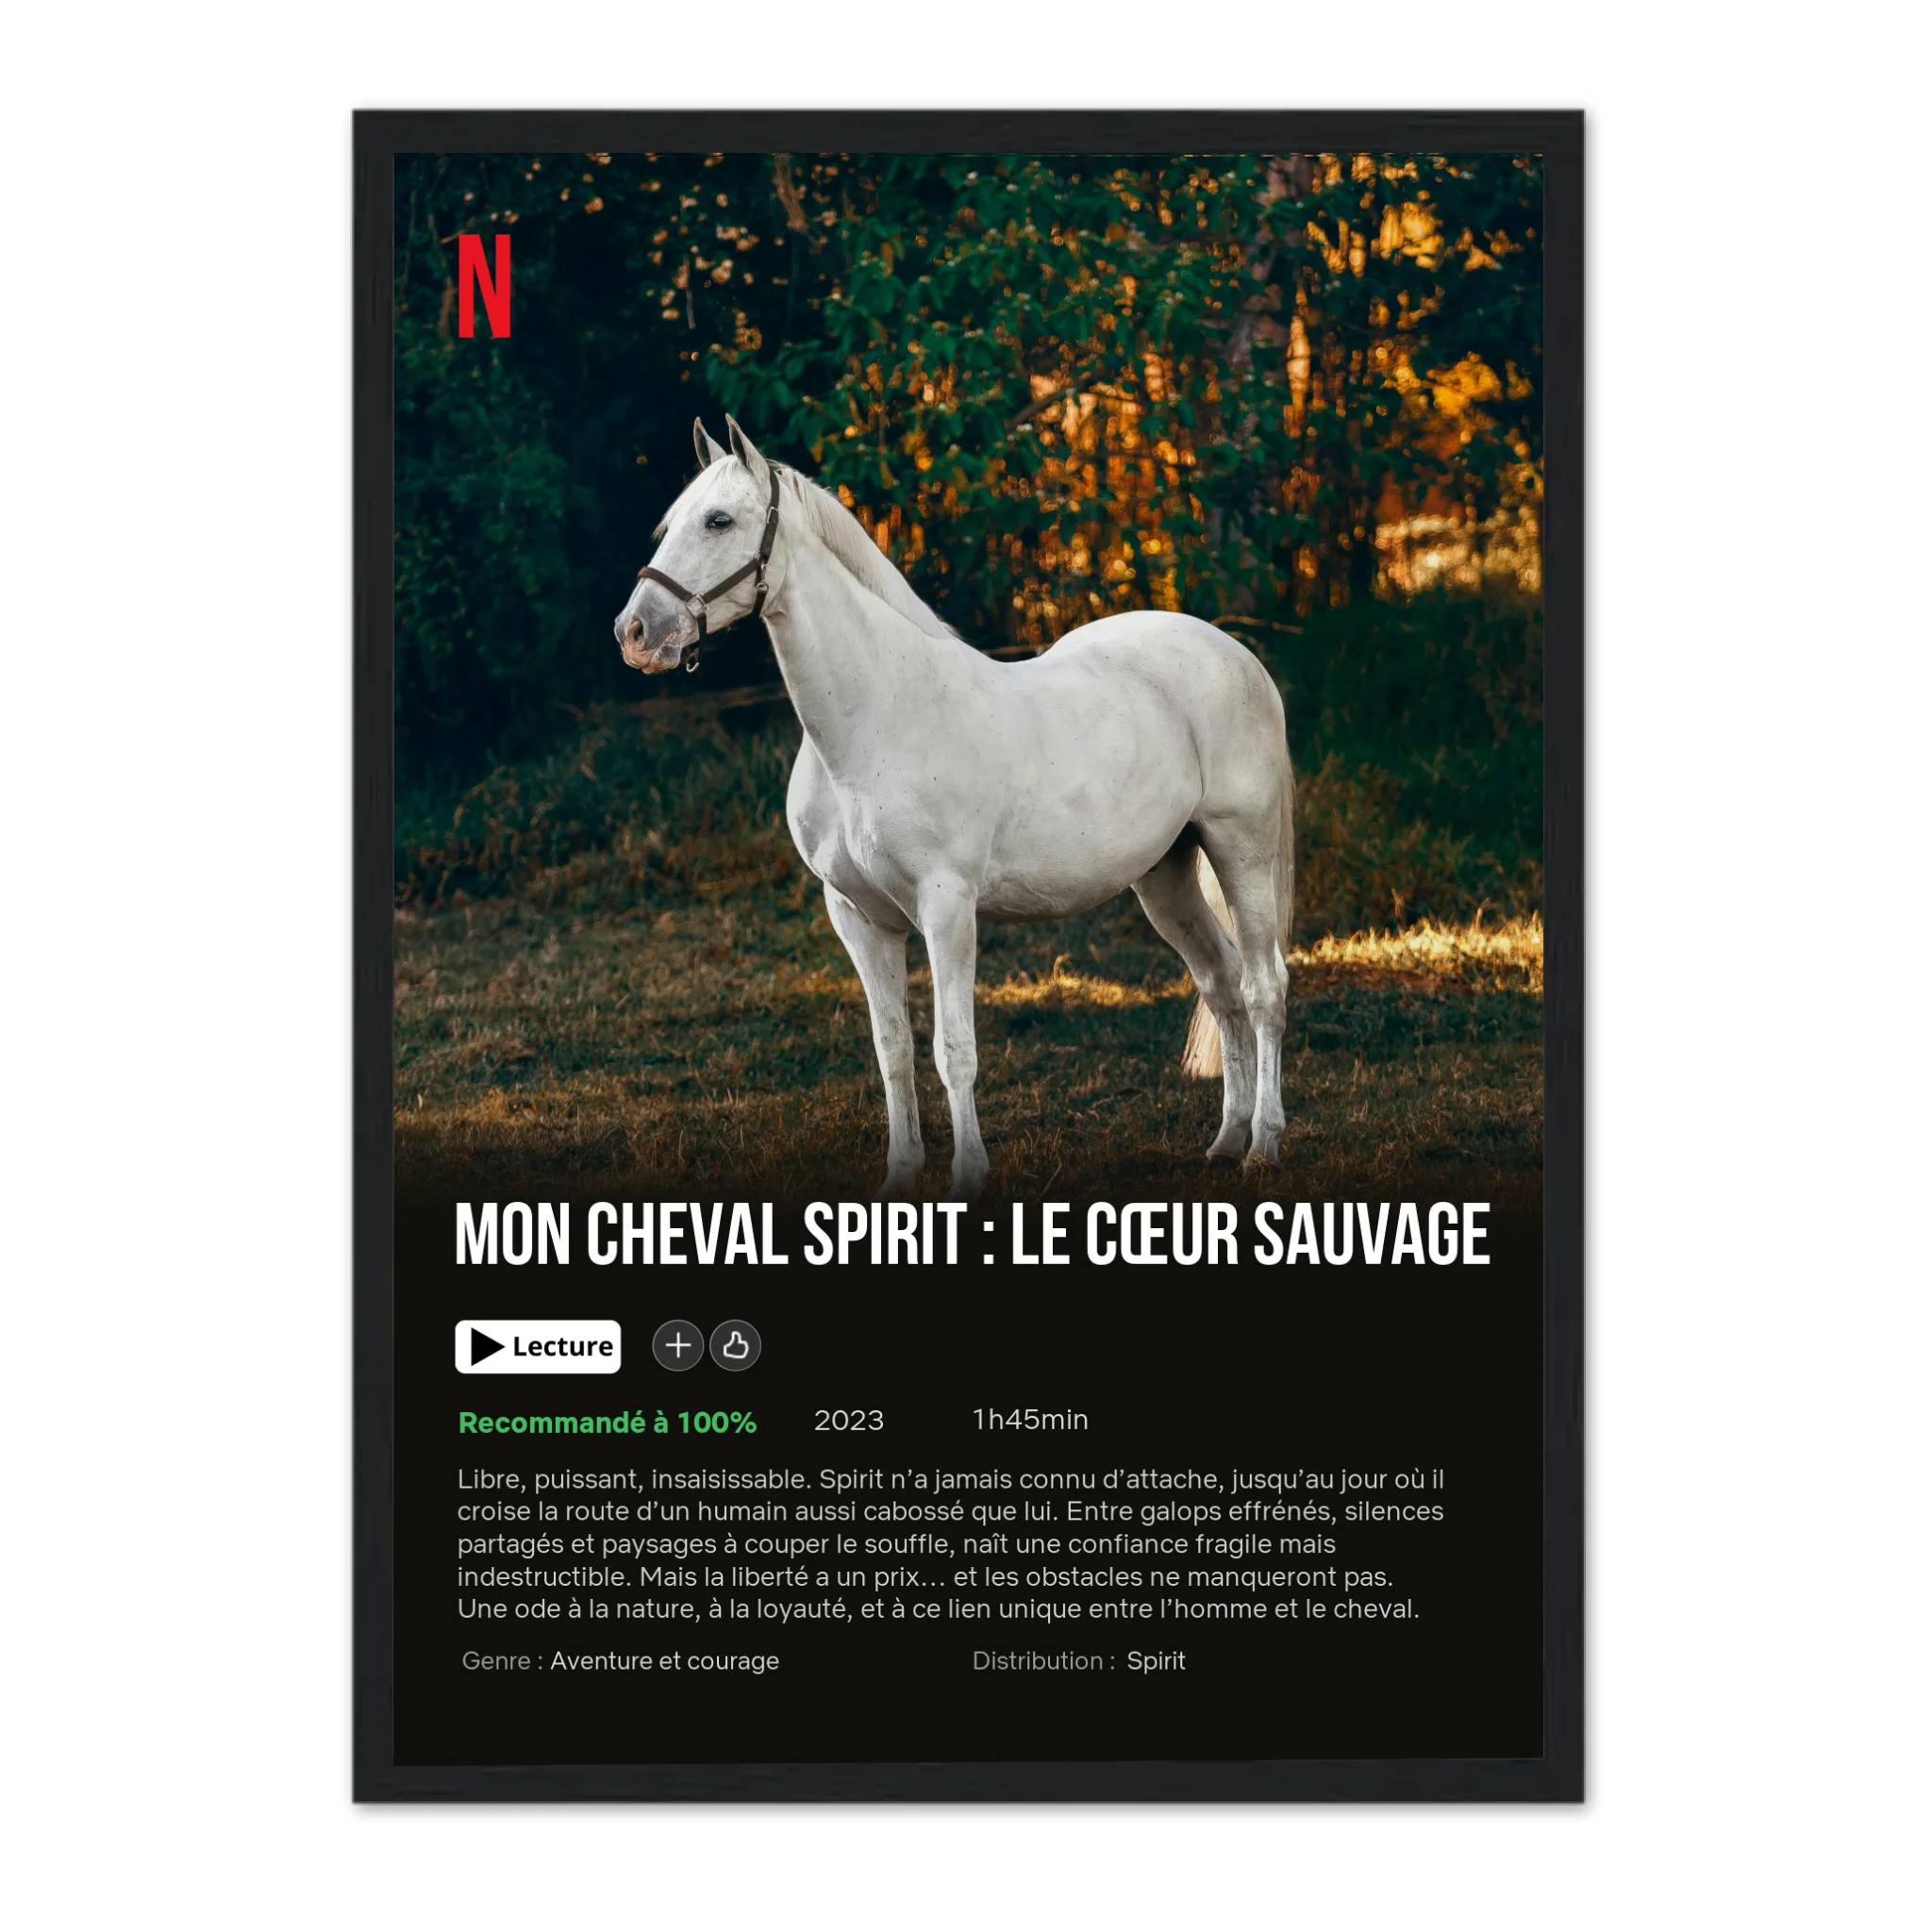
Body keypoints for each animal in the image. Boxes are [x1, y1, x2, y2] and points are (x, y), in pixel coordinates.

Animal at [614, 416, 1295, 1203]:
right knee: (1221, 985)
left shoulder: (946, 907)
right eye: (672, 522)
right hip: (1166, 876)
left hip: (1240, 851)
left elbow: (954, 1050)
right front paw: (899, 1174)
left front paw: (967, 1177)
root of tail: (1236, 655)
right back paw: (1224, 1141)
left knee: (1264, 986)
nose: (634, 633)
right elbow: (892, 1051)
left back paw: (1263, 1145)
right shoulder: (857, 916)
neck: (874, 719)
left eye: (719, 520)